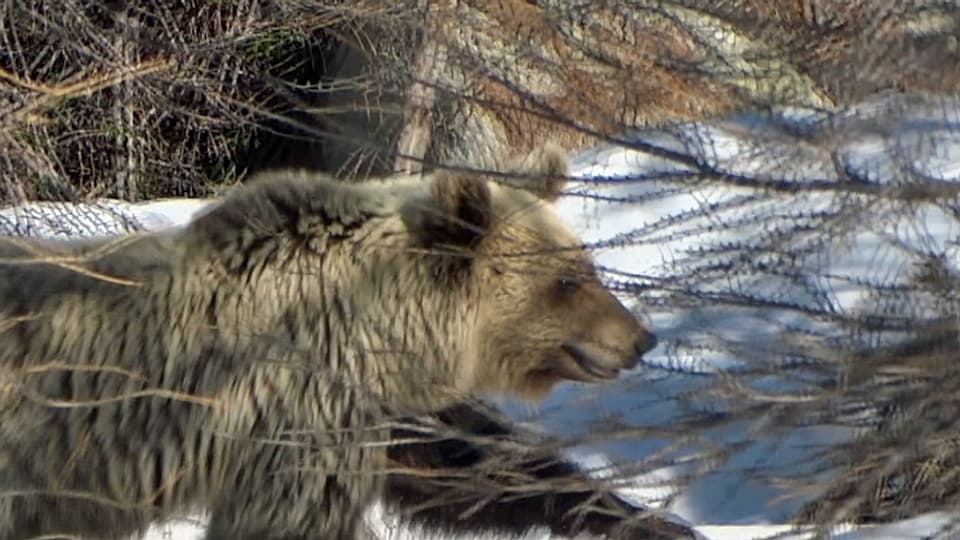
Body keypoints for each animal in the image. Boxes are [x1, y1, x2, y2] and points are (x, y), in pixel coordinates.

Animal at [0, 144, 676, 540]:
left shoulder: (378, 410)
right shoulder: (302, 405)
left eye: (586, 265)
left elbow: (474, 466)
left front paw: (644, 519)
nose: (641, 338)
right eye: (567, 280)